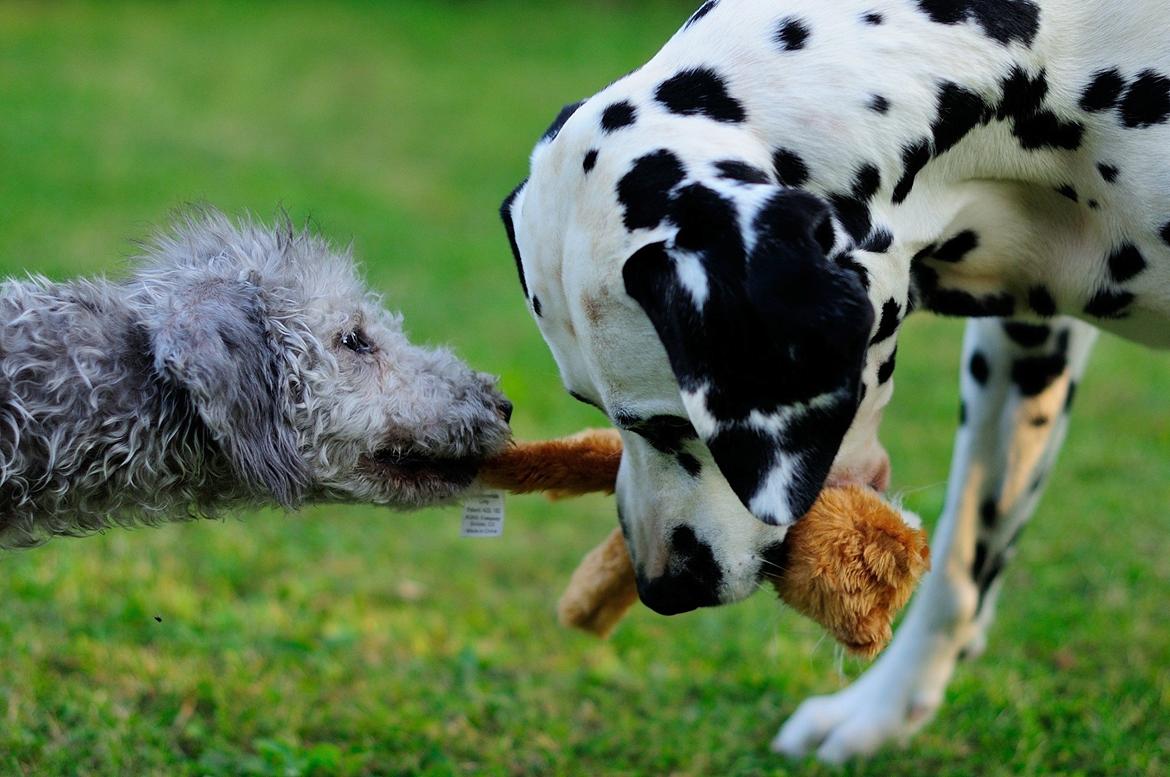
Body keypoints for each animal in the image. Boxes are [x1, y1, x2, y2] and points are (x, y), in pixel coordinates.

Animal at [500, 0, 1170, 762]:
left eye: (671, 425)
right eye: (589, 405)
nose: (661, 587)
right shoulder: (1023, 342)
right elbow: (961, 562)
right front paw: (882, 713)